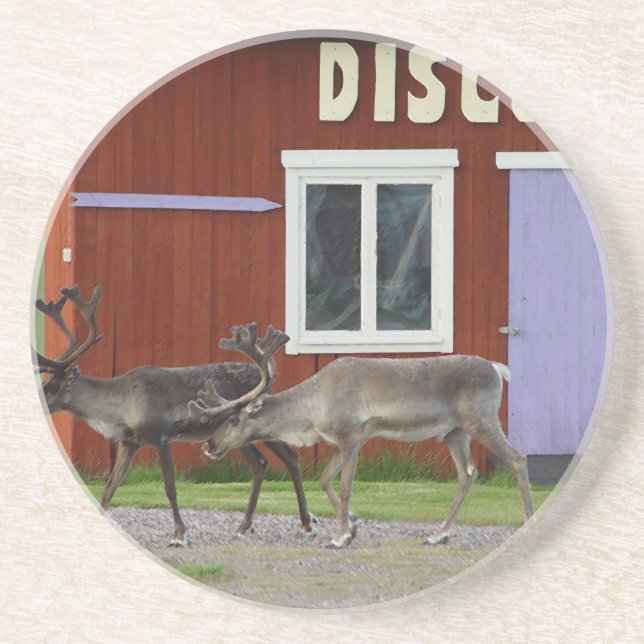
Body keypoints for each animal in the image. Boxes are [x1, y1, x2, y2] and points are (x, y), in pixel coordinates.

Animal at [34, 284, 316, 546]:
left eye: (52, 386)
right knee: (260, 463)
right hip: (235, 434)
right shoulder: (130, 441)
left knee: (290, 458)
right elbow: (109, 488)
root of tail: (268, 379)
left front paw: (180, 534)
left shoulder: (161, 436)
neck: (119, 408)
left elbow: (170, 487)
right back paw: (245, 525)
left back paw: (305, 523)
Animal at [190, 335, 535, 549]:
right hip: (455, 432)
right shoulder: (340, 440)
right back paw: (438, 534)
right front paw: (353, 526)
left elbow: (344, 486)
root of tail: (497, 368)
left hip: (482, 420)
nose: (208, 446)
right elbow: (325, 479)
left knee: (518, 458)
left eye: (234, 419)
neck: (310, 413)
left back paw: (528, 519)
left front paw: (339, 537)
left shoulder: (351, 434)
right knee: (468, 473)